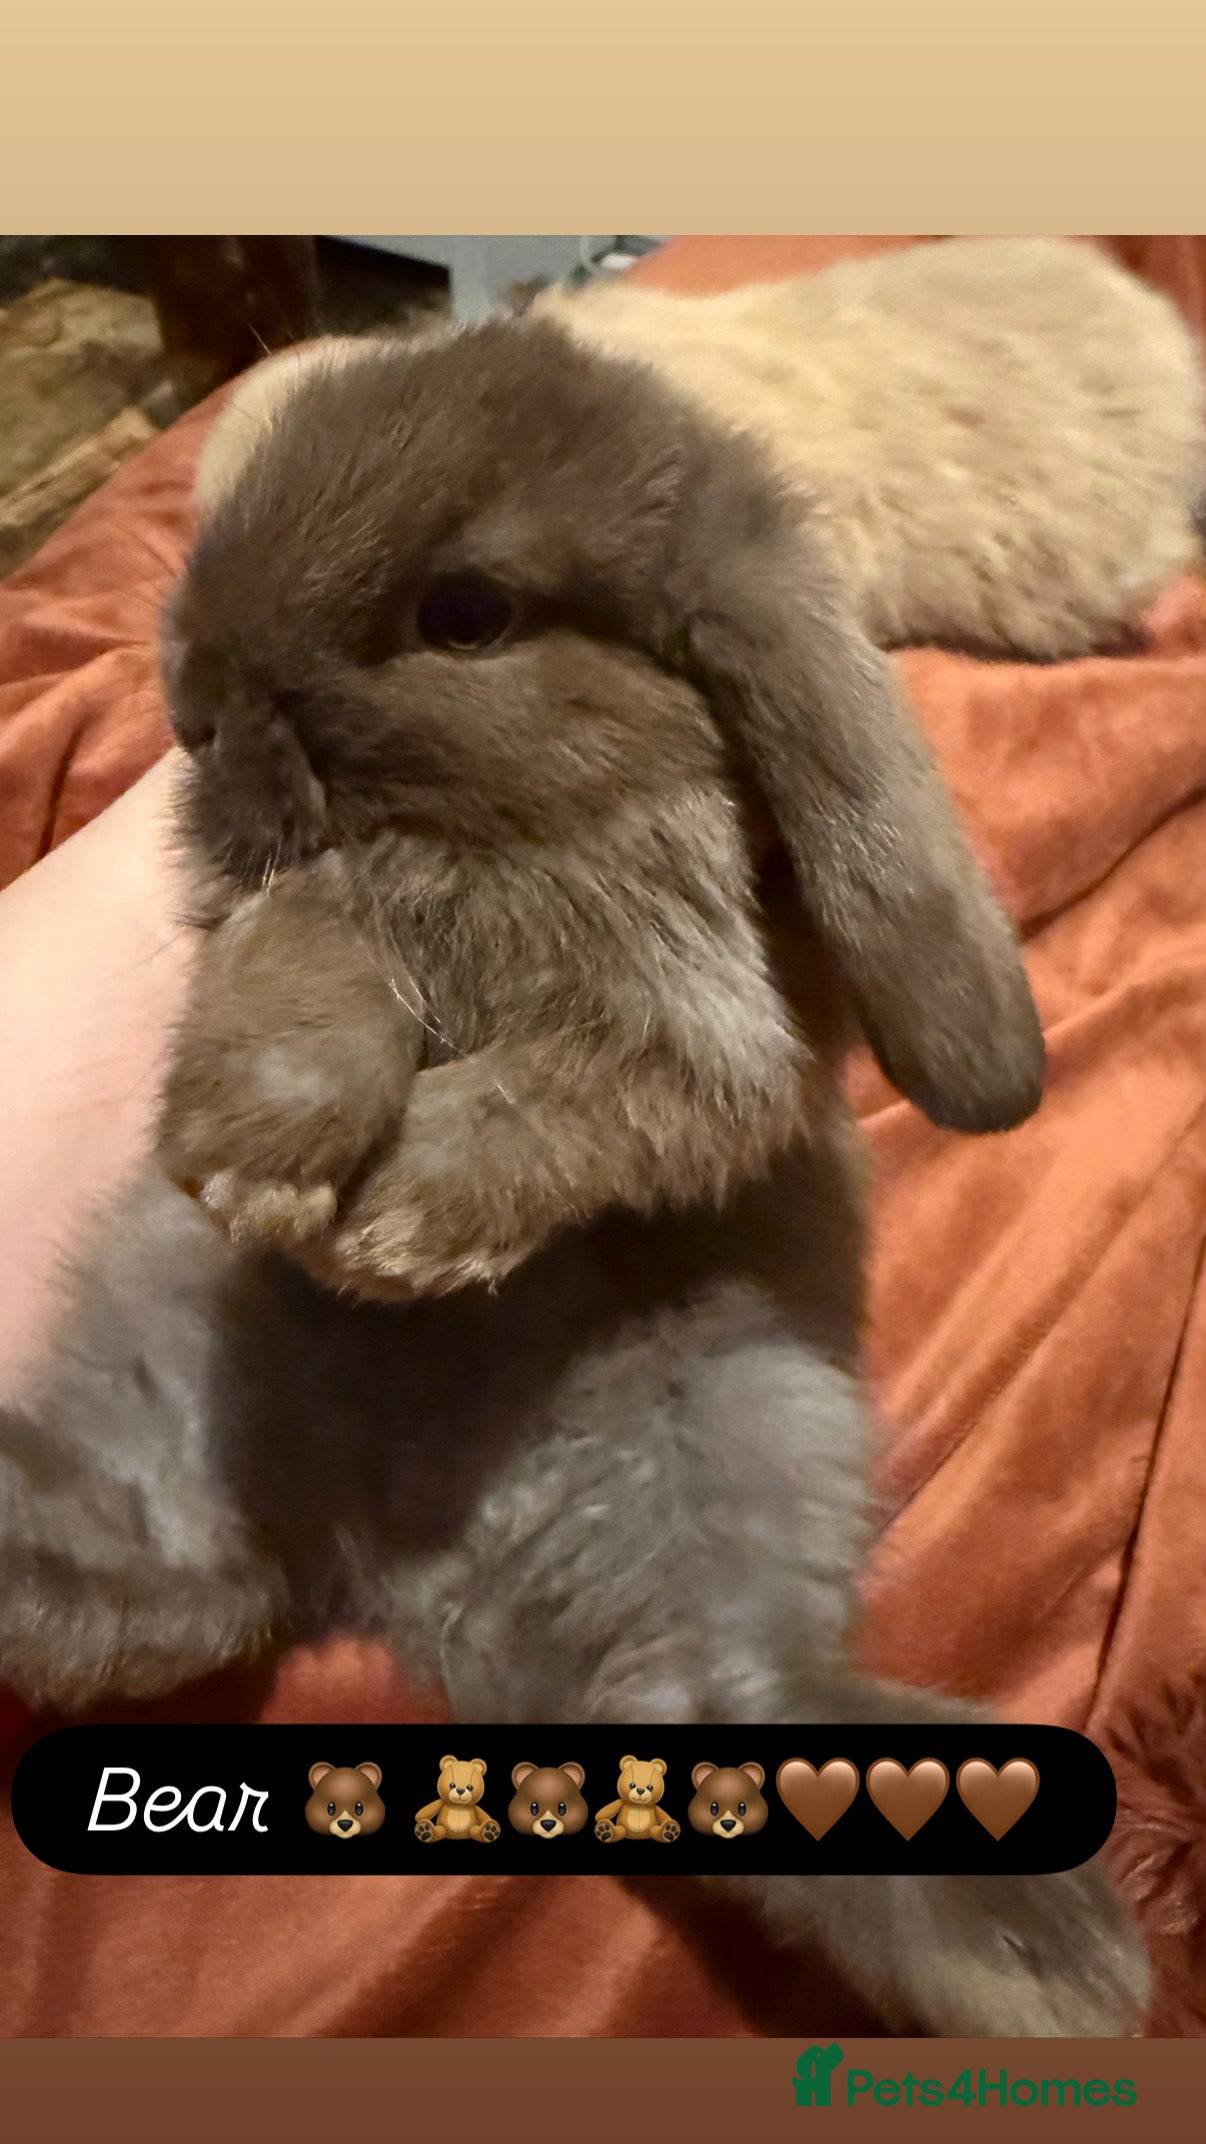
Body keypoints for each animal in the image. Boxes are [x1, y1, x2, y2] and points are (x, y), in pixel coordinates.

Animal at [0, 319, 1148, 2039]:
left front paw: (397, 1226)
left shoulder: (701, 1037)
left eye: (465, 614)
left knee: (730, 1701)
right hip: (163, 1359)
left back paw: (1046, 1955)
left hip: (746, 1413)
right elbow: (312, 951)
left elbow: (586, 1100)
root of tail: (385, 1574)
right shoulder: (313, 916)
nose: (192, 704)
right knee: (188, 1582)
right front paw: (264, 1156)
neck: (507, 829)